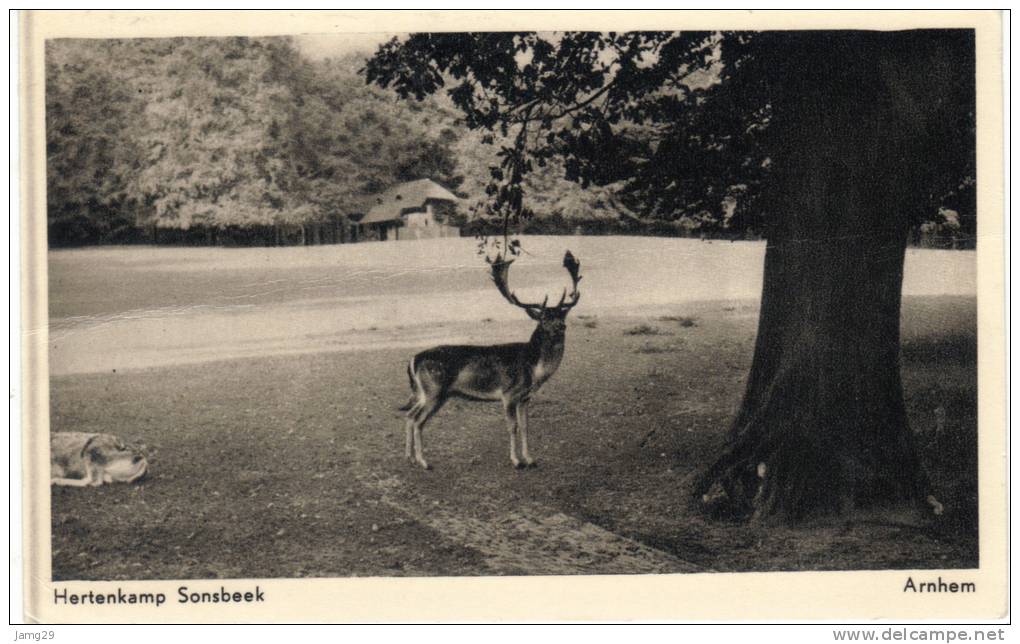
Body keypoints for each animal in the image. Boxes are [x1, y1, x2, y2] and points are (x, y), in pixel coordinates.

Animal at [401, 251, 587, 469]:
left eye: (561, 316)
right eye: (543, 319)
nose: (560, 327)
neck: (533, 368)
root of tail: (414, 360)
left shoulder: (525, 397)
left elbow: (525, 426)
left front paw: (530, 459)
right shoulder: (509, 393)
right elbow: (512, 426)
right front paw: (516, 461)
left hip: (428, 393)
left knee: (409, 415)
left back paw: (410, 457)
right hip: (434, 390)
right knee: (418, 420)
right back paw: (424, 461)